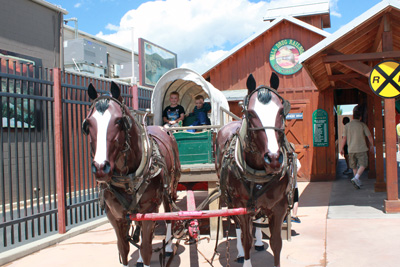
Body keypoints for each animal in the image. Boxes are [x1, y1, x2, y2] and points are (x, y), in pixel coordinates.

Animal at [82, 82, 180, 266]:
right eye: (87, 124)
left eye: (120, 121)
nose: (101, 167)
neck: (128, 179)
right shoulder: (114, 215)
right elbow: (124, 249)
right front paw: (136, 256)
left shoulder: (150, 209)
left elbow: (147, 249)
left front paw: (147, 255)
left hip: (170, 188)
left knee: (169, 215)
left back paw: (170, 247)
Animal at [214, 74, 296, 267]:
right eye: (251, 113)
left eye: (281, 111)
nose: (273, 158)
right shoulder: (241, 206)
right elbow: (245, 239)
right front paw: (244, 255)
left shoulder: (279, 207)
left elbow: (276, 243)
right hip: (230, 200)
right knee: (237, 227)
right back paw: (240, 253)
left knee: (257, 218)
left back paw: (258, 243)